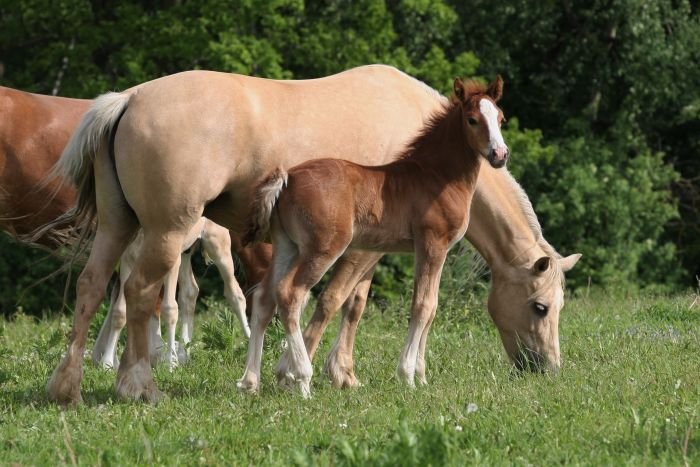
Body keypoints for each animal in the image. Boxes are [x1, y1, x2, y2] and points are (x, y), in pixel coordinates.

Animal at [93, 217, 250, 371]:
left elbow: (169, 309)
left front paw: (170, 364)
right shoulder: (128, 260)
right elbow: (120, 311)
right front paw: (106, 363)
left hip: (217, 242)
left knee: (235, 294)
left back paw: (249, 344)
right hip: (185, 253)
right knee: (190, 291)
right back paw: (183, 356)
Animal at [239, 77, 508, 396]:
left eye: (501, 119)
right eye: (472, 119)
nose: (500, 155)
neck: (437, 176)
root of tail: (287, 178)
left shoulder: (434, 250)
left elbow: (432, 307)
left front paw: (421, 376)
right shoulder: (432, 244)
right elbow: (422, 305)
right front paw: (408, 376)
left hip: (286, 246)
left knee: (264, 298)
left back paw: (250, 382)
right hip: (322, 249)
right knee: (290, 295)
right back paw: (302, 380)